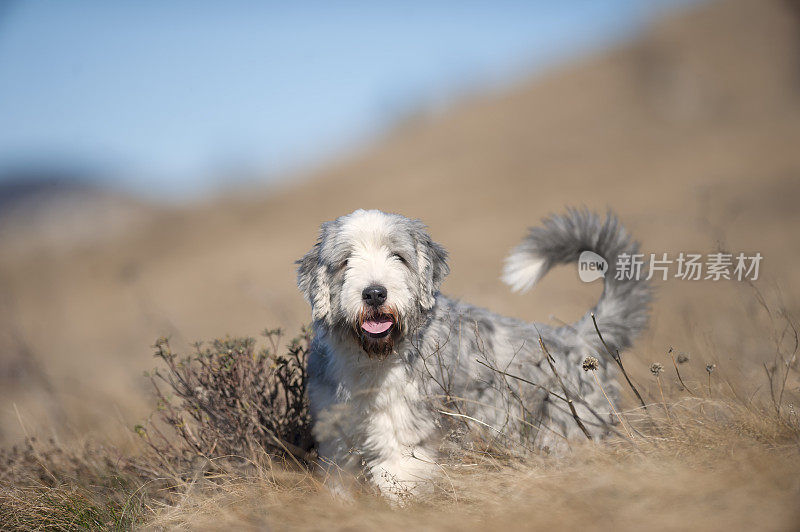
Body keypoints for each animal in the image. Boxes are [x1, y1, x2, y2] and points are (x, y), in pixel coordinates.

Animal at [296, 209, 648, 498]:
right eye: (345, 260)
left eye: (398, 256)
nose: (374, 293)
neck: (371, 358)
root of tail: (577, 337)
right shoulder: (336, 435)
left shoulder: (401, 438)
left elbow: (399, 485)